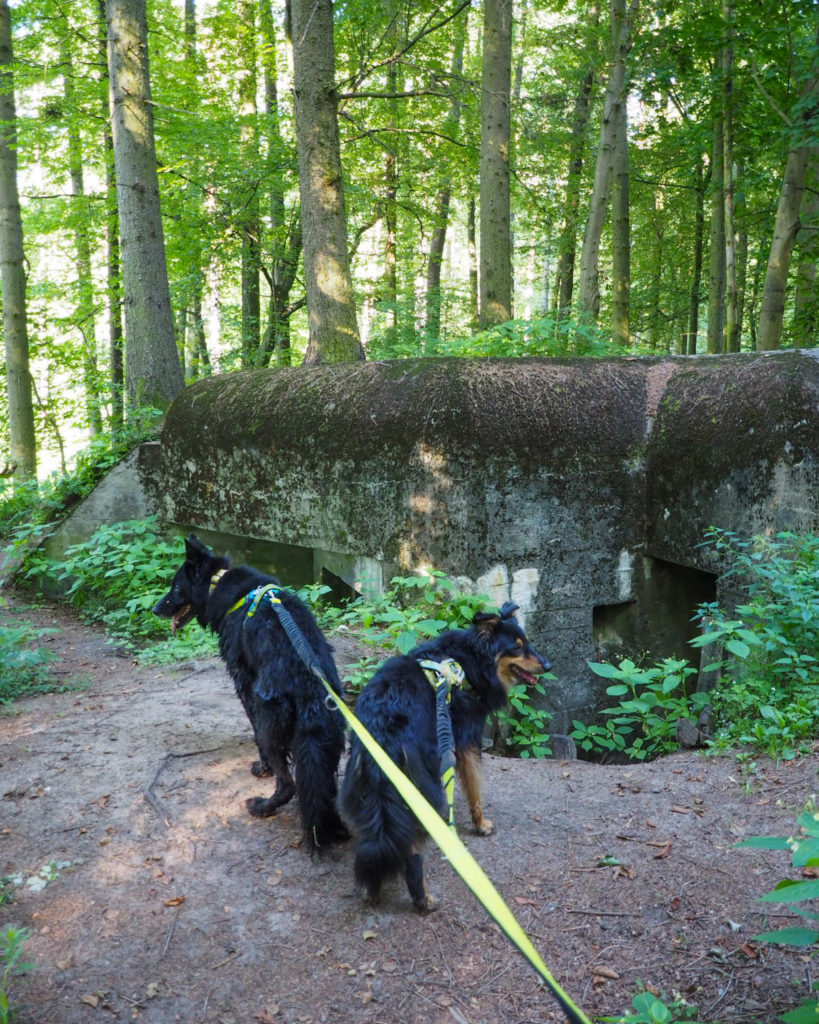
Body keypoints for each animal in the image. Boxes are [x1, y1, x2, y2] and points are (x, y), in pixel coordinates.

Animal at [154, 536, 348, 847]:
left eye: (174, 587)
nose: (155, 609)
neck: (218, 584)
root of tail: (309, 686)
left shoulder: (244, 684)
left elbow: (254, 731)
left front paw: (262, 768)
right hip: (325, 742)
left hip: (273, 726)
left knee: (288, 784)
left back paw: (262, 806)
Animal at [335, 598, 552, 913]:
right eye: (516, 647)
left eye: (528, 642)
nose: (548, 665)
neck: (467, 662)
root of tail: (383, 730)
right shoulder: (467, 742)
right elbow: (474, 791)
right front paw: (481, 825)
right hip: (417, 791)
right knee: (411, 853)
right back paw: (422, 899)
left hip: (366, 791)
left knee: (375, 842)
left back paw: (373, 892)